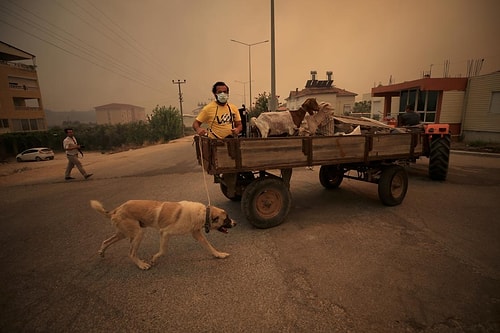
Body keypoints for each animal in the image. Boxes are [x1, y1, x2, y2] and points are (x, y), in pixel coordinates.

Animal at [89, 198, 236, 268]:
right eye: (226, 219)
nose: (235, 223)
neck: (204, 213)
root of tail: (117, 209)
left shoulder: (197, 234)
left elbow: (209, 246)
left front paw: (219, 255)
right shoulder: (165, 233)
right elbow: (163, 251)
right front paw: (154, 258)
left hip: (124, 233)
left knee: (106, 241)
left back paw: (102, 252)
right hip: (138, 233)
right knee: (131, 253)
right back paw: (141, 265)